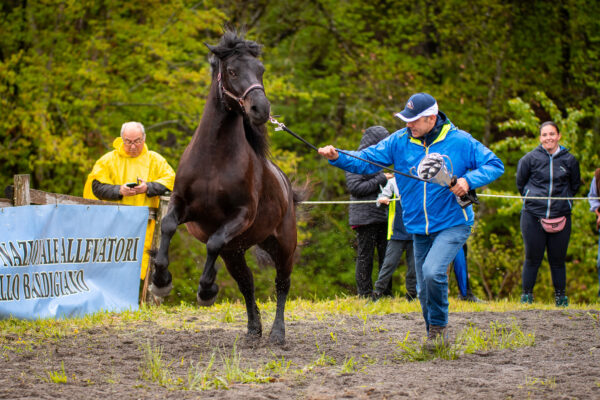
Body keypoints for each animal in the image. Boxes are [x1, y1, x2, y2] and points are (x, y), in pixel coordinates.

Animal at [148, 30, 302, 344]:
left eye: (261, 70)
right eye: (232, 71)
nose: (260, 109)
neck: (214, 159)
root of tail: (286, 187)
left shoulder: (240, 216)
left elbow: (213, 243)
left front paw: (206, 290)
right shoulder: (183, 205)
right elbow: (168, 227)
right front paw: (160, 281)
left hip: (282, 245)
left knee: (282, 284)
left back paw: (276, 333)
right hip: (236, 251)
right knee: (247, 283)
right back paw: (253, 329)